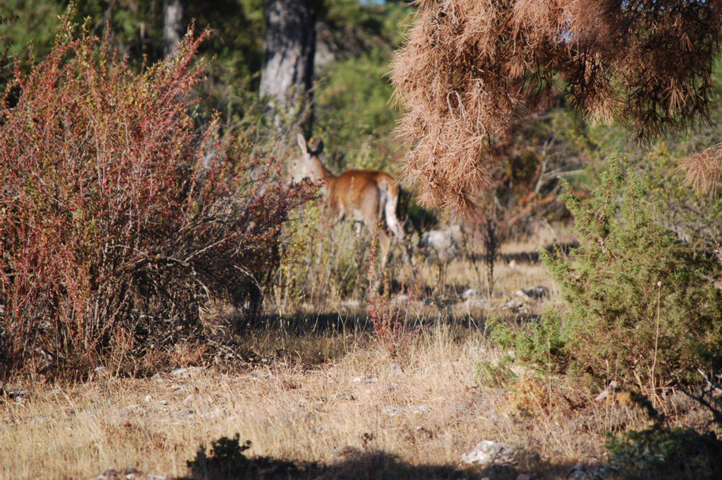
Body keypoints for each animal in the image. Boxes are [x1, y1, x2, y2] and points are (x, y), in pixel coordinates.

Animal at [289, 134, 408, 269]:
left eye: (294, 163)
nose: (290, 180)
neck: (328, 186)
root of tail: (386, 181)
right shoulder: (357, 220)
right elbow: (357, 241)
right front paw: (356, 263)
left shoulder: (336, 213)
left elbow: (329, 238)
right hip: (392, 211)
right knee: (403, 236)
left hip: (370, 211)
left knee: (386, 239)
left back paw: (377, 272)